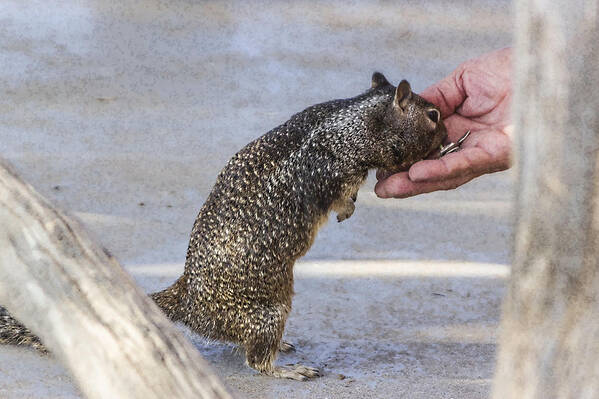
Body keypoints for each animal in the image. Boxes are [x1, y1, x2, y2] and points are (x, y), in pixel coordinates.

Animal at [0, 72, 446, 382]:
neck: (350, 120)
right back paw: (287, 368)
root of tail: (187, 302)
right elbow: (342, 194)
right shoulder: (334, 171)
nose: (446, 135)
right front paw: (347, 210)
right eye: (433, 115)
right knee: (255, 360)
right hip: (270, 311)